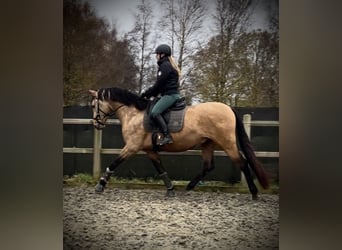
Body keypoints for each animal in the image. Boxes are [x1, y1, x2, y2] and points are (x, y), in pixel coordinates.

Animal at [89, 86, 270, 199]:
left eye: (93, 105)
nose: (96, 124)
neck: (134, 114)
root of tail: (228, 108)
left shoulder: (132, 147)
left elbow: (114, 163)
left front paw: (100, 185)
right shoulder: (150, 150)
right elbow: (161, 169)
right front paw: (170, 189)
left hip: (227, 143)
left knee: (242, 163)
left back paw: (254, 193)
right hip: (208, 144)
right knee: (208, 166)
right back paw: (188, 187)